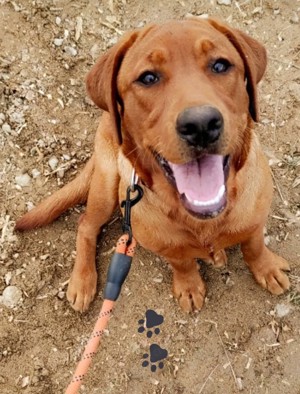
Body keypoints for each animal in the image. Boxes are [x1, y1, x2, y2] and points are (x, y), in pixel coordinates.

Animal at [15, 18, 290, 312]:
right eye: (148, 78)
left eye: (220, 65)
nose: (201, 125)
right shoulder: (166, 246)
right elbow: (182, 263)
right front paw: (189, 285)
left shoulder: (255, 221)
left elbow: (254, 246)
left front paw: (267, 267)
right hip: (107, 184)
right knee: (86, 223)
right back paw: (82, 280)